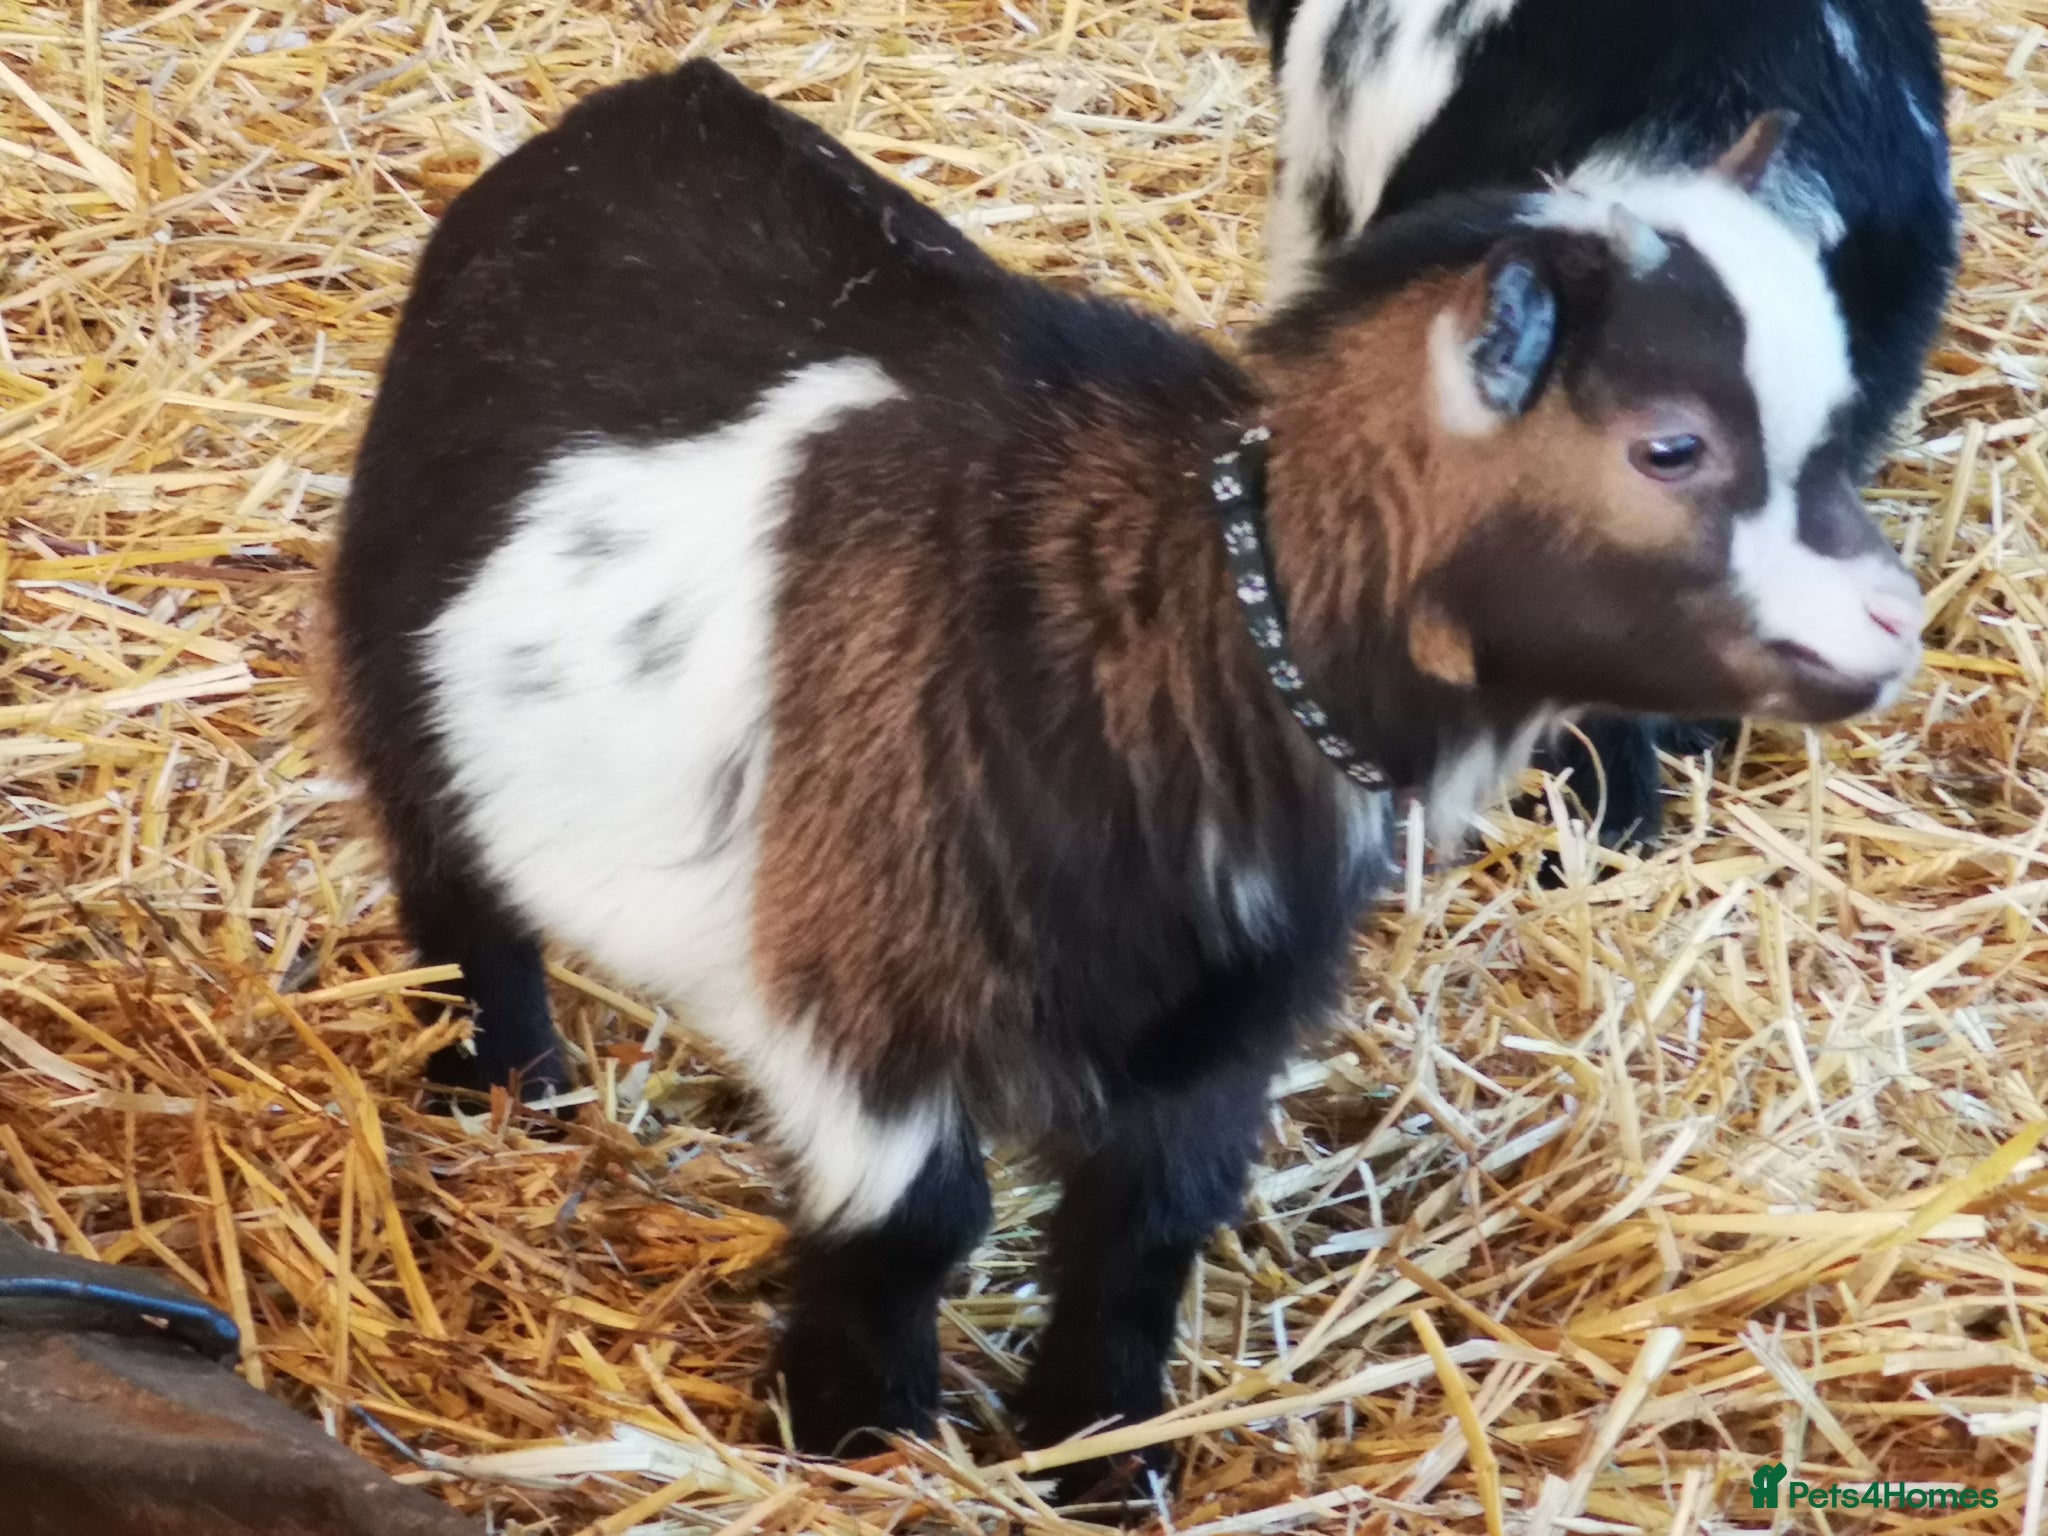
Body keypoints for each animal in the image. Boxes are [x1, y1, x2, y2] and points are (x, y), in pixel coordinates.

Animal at [325, 60, 1922, 1496]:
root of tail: (645, 101)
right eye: (1671, 446)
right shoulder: (862, 987)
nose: (1889, 626)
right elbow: (915, 1221)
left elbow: (1144, 1231)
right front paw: (856, 1431)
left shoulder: (1219, 1021)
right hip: (401, 671)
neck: (1180, 622)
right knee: (454, 887)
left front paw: (1102, 1452)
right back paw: (506, 1082)